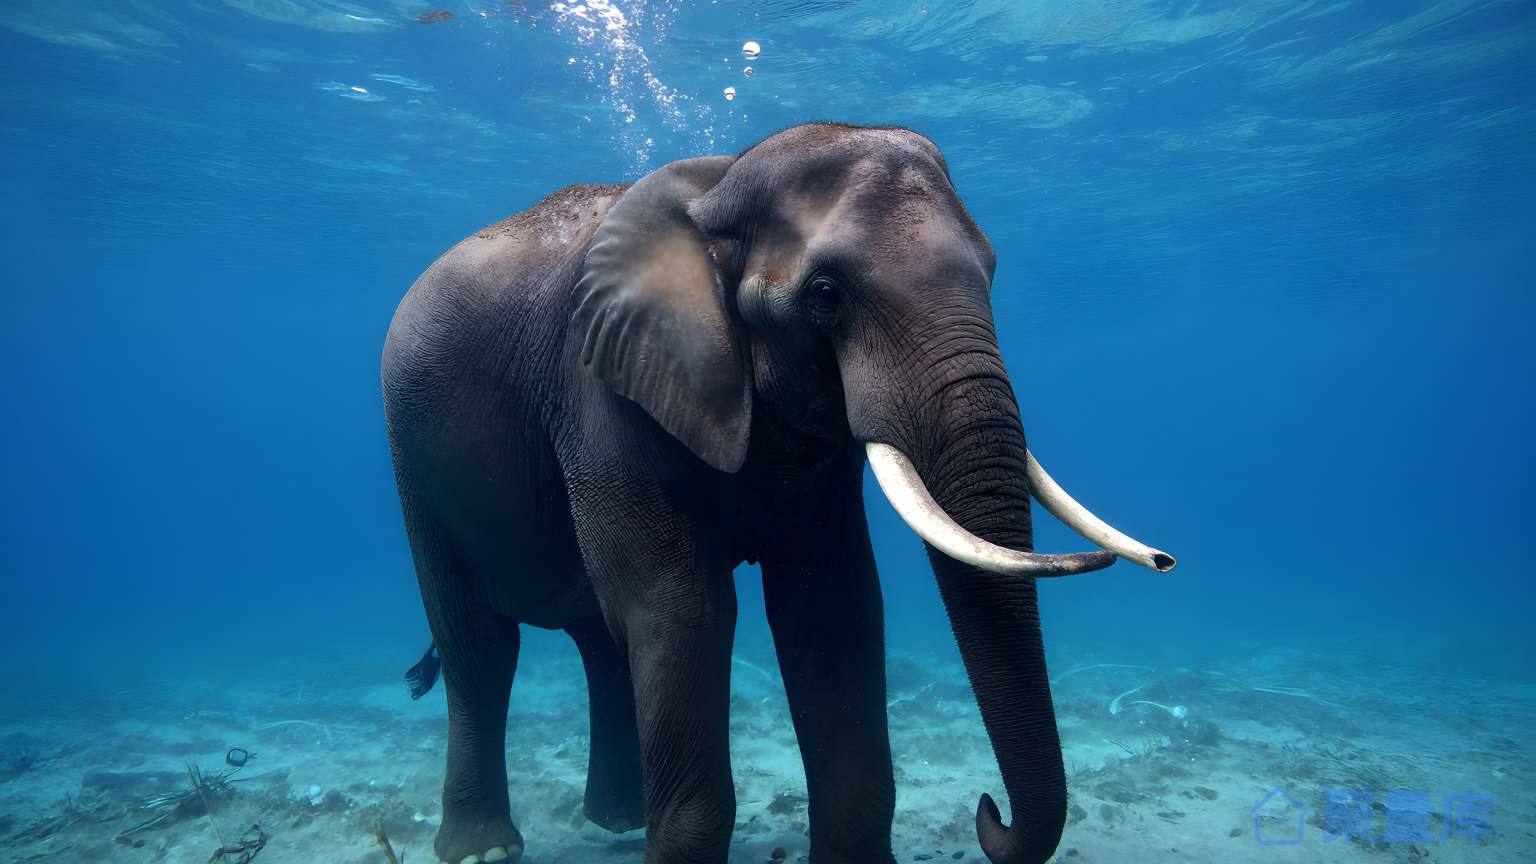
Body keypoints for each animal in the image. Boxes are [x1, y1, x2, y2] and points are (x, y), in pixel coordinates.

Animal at [381, 122, 1174, 864]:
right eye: (825, 296)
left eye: (992, 271)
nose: (988, 811)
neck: (718, 189)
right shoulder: (600, 393)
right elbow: (681, 606)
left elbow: (830, 606)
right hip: (412, 463)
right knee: (481, 647)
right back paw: (485, 847)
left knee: (599, 640)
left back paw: (618, 821)